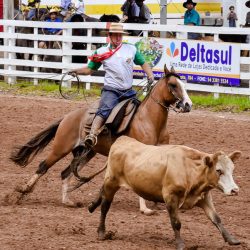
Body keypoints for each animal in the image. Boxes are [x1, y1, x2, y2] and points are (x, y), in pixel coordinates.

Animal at [8, 66, 192, 215]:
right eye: (173, 85)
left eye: (183, 85)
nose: (188, 105)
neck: (148, 120)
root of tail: (68, 117)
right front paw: (145, 208)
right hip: (60, 148)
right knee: (43, 167)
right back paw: (21, 192)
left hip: (85, 153)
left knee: (66, 172)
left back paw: (67, 201)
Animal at [89, 136, 241, 249]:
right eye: (219, 170)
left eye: (232, 169)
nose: (234, 190)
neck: (189, 169)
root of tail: (121, 140)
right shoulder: (170, 197)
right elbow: (176, 222)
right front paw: (180, 244)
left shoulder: (204, 197)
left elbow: (216, 218)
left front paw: (231, 239)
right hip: (112, 182)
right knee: (105, 206)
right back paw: (102, 232)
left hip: (110, 181)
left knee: (101, 191)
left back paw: (91, 206)